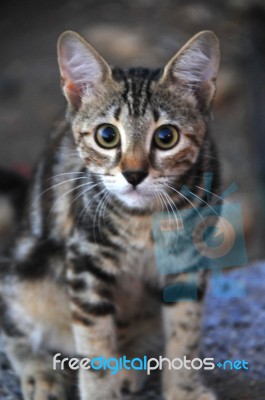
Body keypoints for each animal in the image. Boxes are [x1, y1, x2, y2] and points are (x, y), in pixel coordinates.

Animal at [0, 28, 220, 400]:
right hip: (26, 274)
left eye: (166, 137)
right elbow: (95, 347)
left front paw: (184, 389)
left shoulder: (189, 260)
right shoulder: (85, 259)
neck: (145, 218)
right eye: (107, 135)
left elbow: (185, 332)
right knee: (13, 331)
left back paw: (131, 363)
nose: (134, 174)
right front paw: (101, 390)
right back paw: (40, 372)